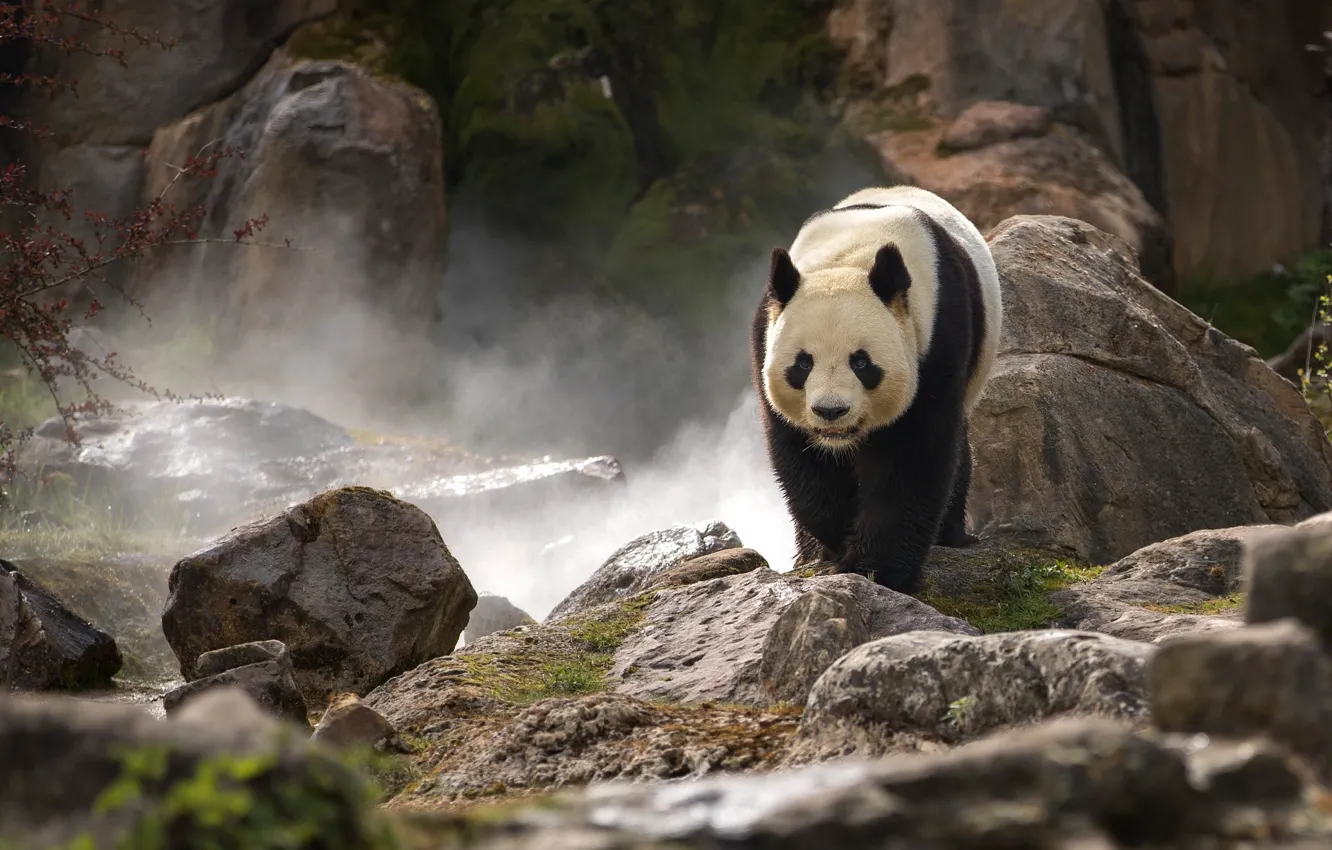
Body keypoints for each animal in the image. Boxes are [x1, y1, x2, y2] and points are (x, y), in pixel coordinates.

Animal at [749, 185, 1003, 596]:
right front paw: (838, 538)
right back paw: (809, 554)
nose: (831, 411)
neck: (849, 258)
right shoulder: (766, 339)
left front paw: (876, 569)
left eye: (861, 362)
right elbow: (801, 457)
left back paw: (951, 535)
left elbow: (912, 456)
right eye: (802, 364)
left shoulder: (936, 339)